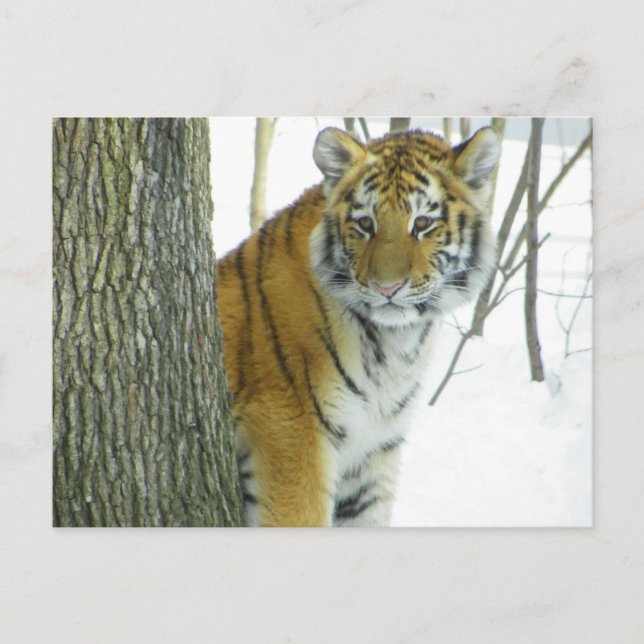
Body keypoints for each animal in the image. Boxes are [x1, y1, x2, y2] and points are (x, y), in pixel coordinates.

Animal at [216, 124, 501, 527]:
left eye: (423, 224)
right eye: (366, 223)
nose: (387, 287)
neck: (395, 344)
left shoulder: (372, 452)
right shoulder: (290, 430)